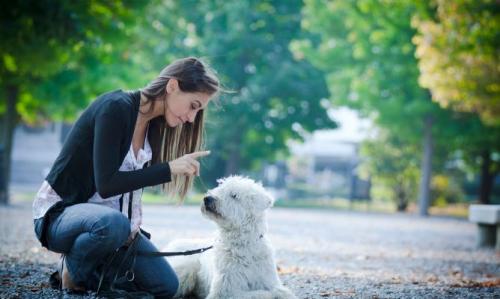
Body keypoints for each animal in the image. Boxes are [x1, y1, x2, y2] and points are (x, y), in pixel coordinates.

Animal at [164, 176, 296, 299]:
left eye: (234, 195)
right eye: (220, 187)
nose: (207, 198)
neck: (243, 244)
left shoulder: (269, 280)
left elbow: (282, 291)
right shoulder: (225, 290)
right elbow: (260, 293)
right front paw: (269, 294)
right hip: (186, 267)